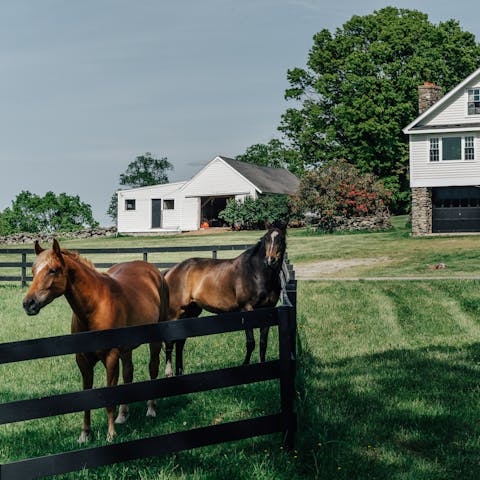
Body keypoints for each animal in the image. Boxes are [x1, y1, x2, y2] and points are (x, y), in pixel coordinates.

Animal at [22, 240, 170, 442]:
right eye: (33, 270)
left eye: (53, 270)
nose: (28, 303)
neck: (95, 306)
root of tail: (154, 271)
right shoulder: (83, 360)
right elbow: (88, 397)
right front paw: (85, 434)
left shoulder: (111, 357)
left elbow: (109, 396)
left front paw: (110, 435)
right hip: (126, 349)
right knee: (128, 373)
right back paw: (123, 415)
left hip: (154, 340)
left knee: (153, 368)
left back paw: (151, 409)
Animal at [165, 221, 286, 376]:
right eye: (266, 239)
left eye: (281, 239)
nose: (270, 260)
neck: (256, 273)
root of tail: (172, 270)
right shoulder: (246, 309)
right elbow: (250, 343)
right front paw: (245, 366)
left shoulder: (268, 310)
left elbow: (263, 343)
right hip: (175, 313)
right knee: (170, 342)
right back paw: (169, 373)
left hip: (190, 313)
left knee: (180, 342)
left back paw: (180, 372)